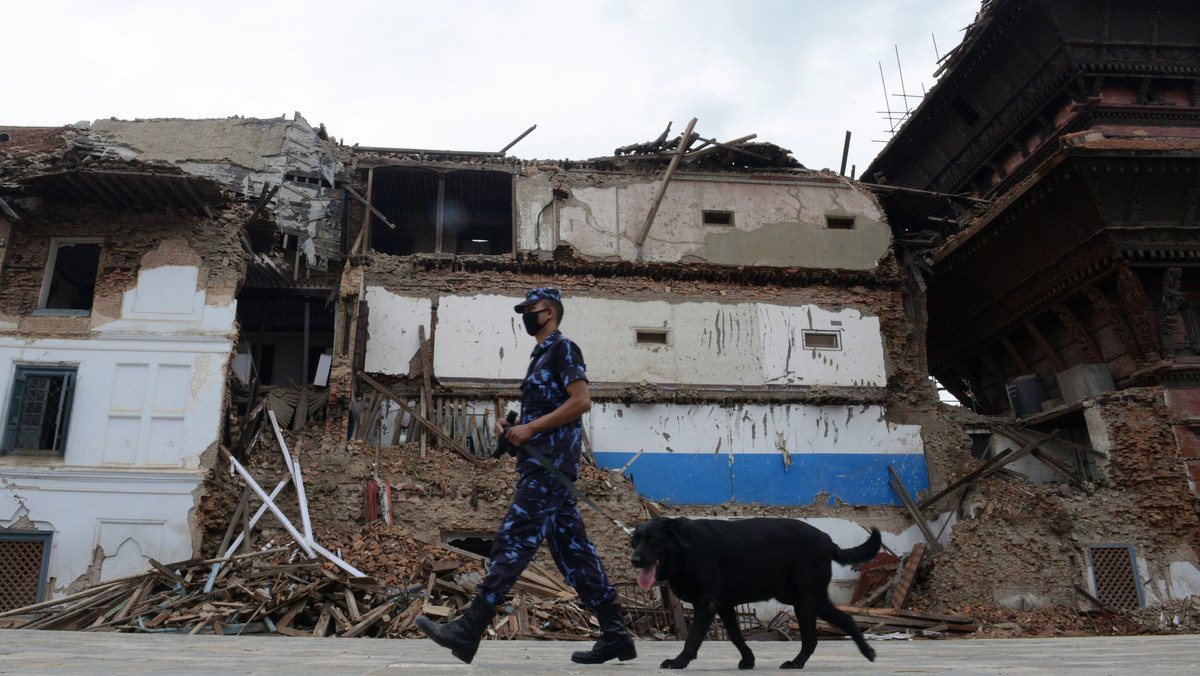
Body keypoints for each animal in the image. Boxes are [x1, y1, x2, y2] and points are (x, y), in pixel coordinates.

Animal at [628, 518, 883, 672]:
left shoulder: (705, 603)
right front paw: (749, 659)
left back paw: (796, 663)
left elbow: (693, 638)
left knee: (811, 639)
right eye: (635, 540)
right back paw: (867, 651)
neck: (685, 551)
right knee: (846, 619)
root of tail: (829, 541)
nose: (635, 560)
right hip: (811, 599)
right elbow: (735, 636)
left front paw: (679, 661)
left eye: (653, 540)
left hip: (804, 600)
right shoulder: (723, 604)